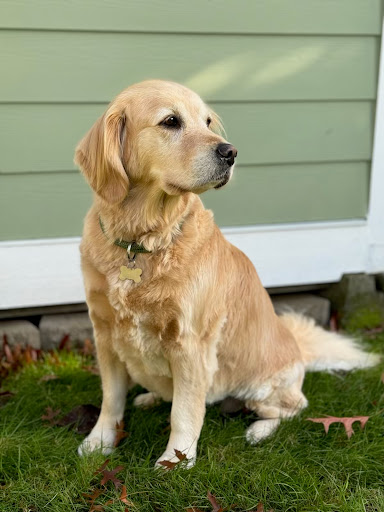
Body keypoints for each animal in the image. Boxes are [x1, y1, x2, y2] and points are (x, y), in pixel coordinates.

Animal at [74, 78, 378, 466]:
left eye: (207, 121)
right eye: (171, 121)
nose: (230, 152)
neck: (141, 241)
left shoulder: (190, 343)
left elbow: (185, 411)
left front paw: (176, 460)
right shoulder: (105, 333)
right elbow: (111, 399)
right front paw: (99, 441)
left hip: (262, 386)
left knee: (291, 408)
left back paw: (257, 431)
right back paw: (150, 396)